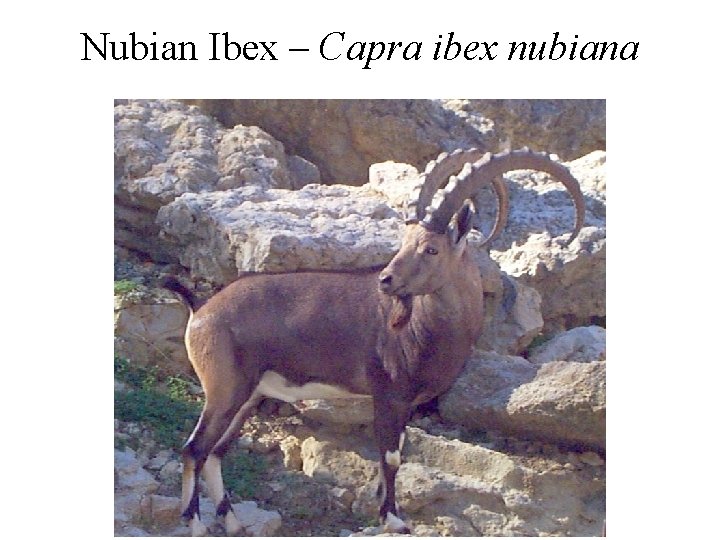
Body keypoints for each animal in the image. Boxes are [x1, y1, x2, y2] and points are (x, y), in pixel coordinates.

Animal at [163, 148, 585, 535]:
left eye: (430, 247)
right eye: (405, 240)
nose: (385, 279)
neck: (426, 327)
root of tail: (200, 310)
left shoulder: (406, 405)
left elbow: (394, 454)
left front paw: (383, 508)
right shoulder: (389, 394)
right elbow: (392, 457)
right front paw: (394, 518)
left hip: (249, 396)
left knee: (216, 452)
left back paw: (232, 521)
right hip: (224, 389)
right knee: (194, 449)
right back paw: (195, 522)